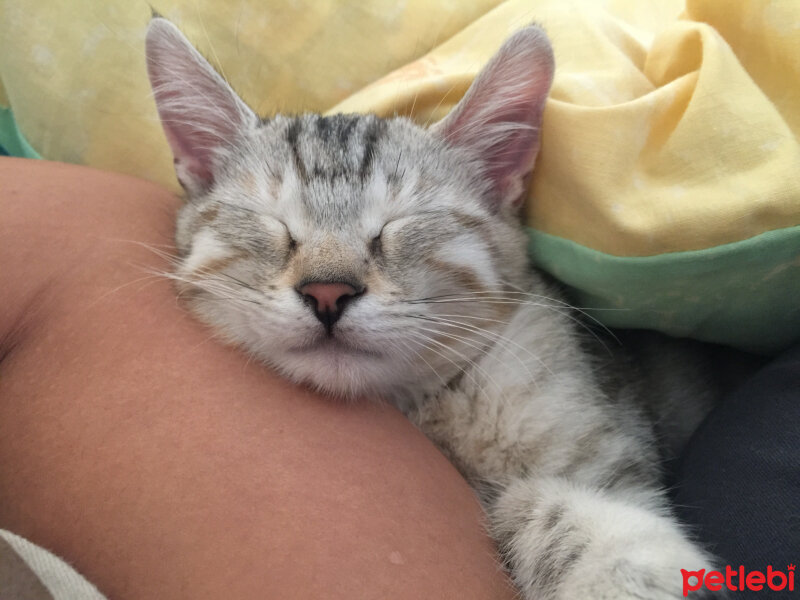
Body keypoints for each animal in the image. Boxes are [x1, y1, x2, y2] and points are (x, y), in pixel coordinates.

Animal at [147, 16, 720, 596]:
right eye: (273, 224)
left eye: (398, 224)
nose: (327, 292)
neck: (426, 405)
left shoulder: (608, 454)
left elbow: (572, 513)